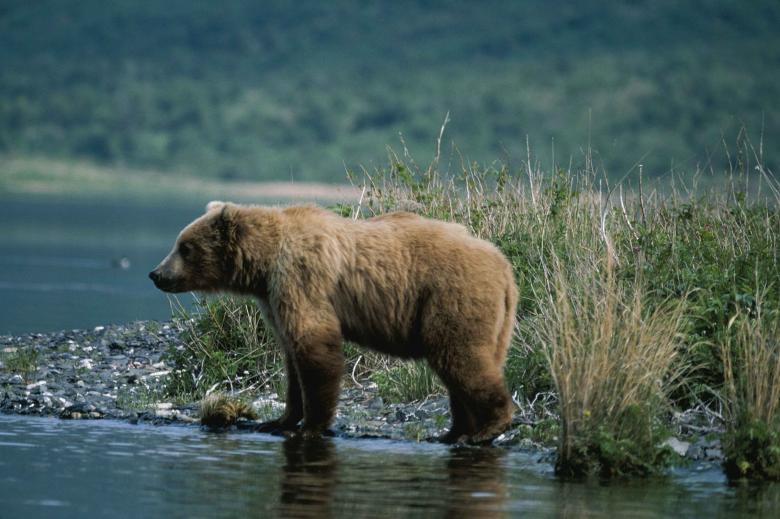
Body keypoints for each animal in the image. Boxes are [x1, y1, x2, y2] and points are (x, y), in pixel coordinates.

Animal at [149, 201, 517, 444]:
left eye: (185, 247)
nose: (156, 273)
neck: (263, 266)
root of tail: (504, 266)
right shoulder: (273, 298)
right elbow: (292, 361)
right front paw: (279, 419)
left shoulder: (300, 279)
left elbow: (314, 347)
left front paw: (311, 426)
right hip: (493, 320)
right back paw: (453, 432)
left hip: (451, 297)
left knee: (460, 359)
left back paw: (489, 426)